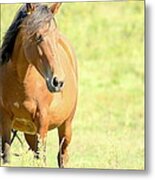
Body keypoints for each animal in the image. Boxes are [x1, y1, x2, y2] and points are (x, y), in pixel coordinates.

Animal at [0, 2, 77, 168]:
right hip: (30, 134)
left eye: (56, 37)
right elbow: (6, 156)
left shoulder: (42, 121)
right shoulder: (5, 119)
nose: (58, 82)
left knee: (62, 156)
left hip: (66, 126)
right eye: (38, 36)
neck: (22, 81)